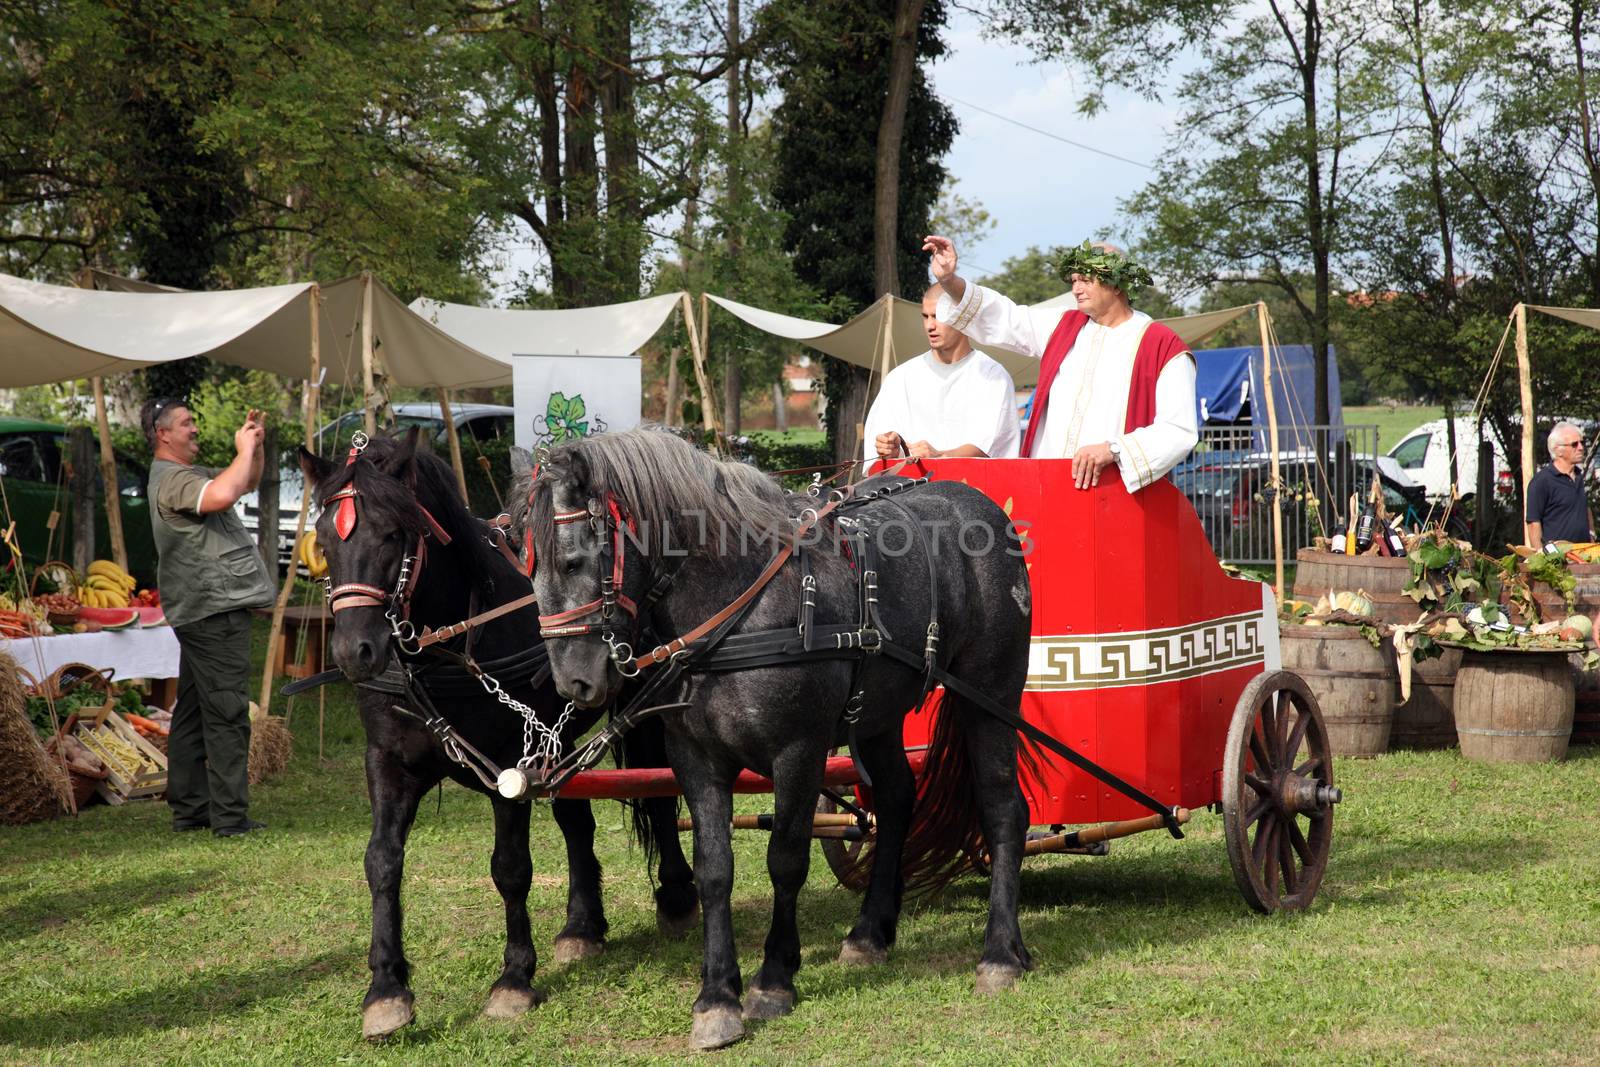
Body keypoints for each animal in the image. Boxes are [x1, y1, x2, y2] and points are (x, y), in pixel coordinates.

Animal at [300, 428, 700, 1036]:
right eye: (324, 539)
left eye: (393, 534)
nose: (353, 652)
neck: (443, 651)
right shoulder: (388, 761)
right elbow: (382, 862)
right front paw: (386, 989)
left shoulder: (509, 765)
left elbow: (510, 868)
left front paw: (514, 979)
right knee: (575, 819)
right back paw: (582, 926)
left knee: (656, 795)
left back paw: (676, 895)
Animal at [512, 431, 1036, 1049]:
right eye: (528, 569)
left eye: (574, 560)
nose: (574, 681)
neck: (739, 604)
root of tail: (981, 507)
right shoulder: (695, 758)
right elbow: (715, 869)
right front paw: (717, 996)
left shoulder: (800, 753)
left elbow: (786, 859)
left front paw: (773, 979)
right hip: (877, 715)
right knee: (897, 800)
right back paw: (870, 933)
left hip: (991, 696)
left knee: (1003, 810)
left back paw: (1001, 953)